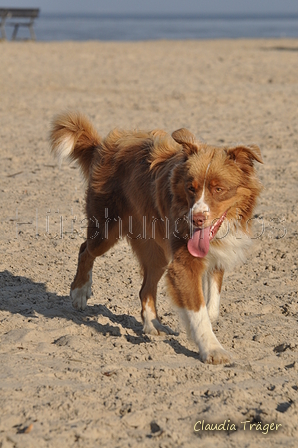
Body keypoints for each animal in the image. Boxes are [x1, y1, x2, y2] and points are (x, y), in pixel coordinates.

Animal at [50, 112, 262, 364]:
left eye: (218, 189)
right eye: (191, 188)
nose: (196, 219)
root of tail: (105, 145)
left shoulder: (218, 252)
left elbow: (211, 303)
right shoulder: (184, 263)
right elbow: (198, 311)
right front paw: (212, 349)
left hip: (156, 252)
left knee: (145, 289)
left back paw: (154, 326)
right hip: (107, 229)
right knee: (85, 249)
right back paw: (80, 292)